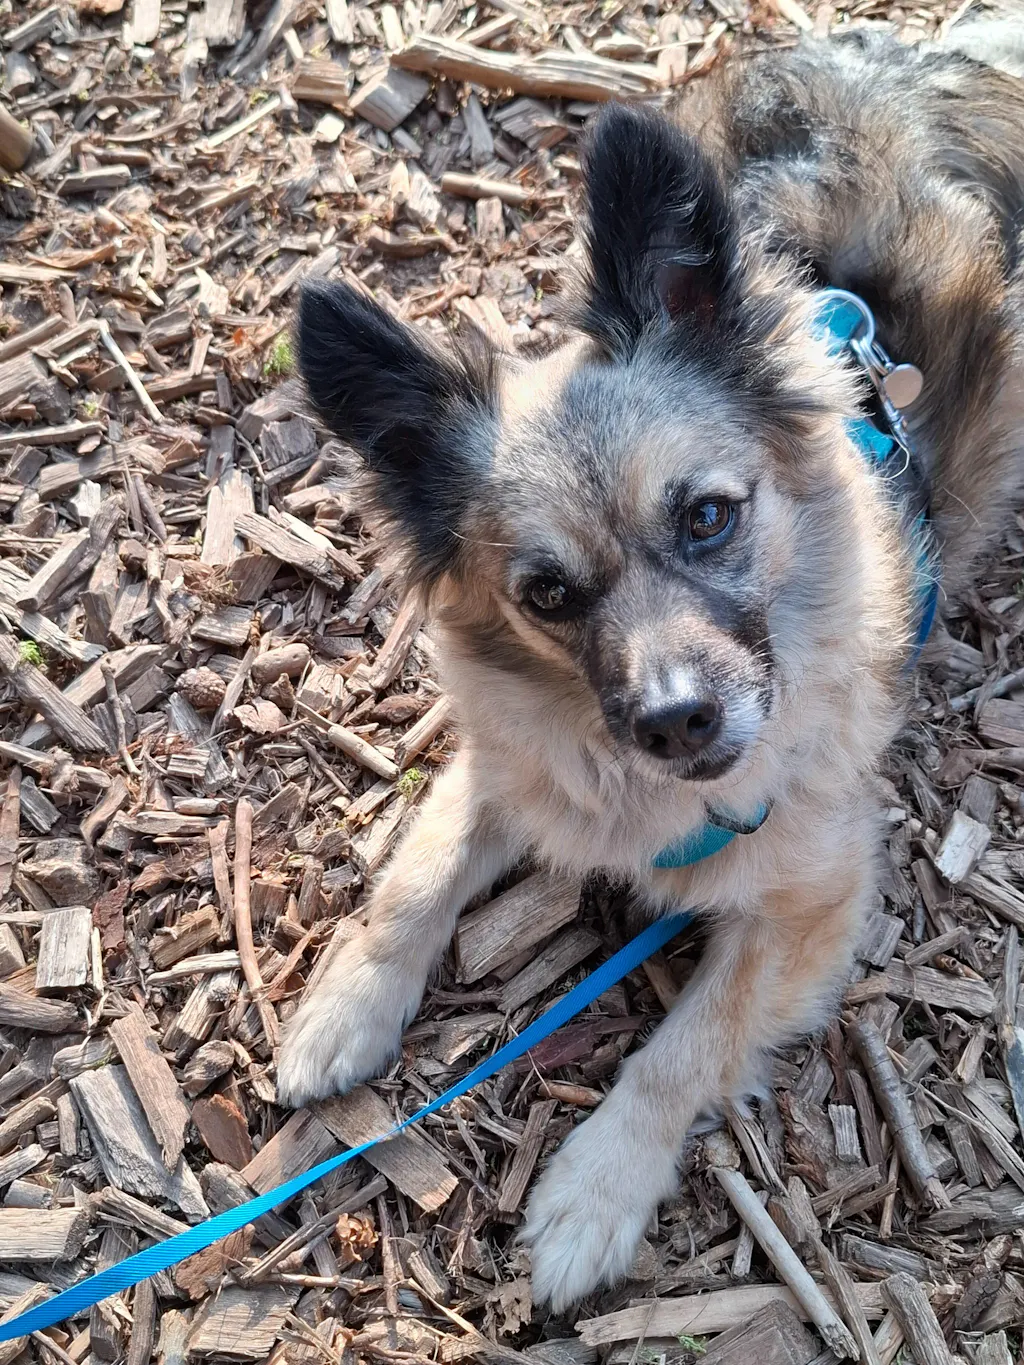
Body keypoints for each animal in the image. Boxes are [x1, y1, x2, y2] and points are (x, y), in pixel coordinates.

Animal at [277, 13, 1024, 1310]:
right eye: (547, 596)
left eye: (708, 517)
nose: (677, 720)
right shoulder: (508, 765)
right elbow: (416, 878)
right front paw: (347, 1002)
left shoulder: (812, 901)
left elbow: (687, 1046)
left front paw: (594, 1190)